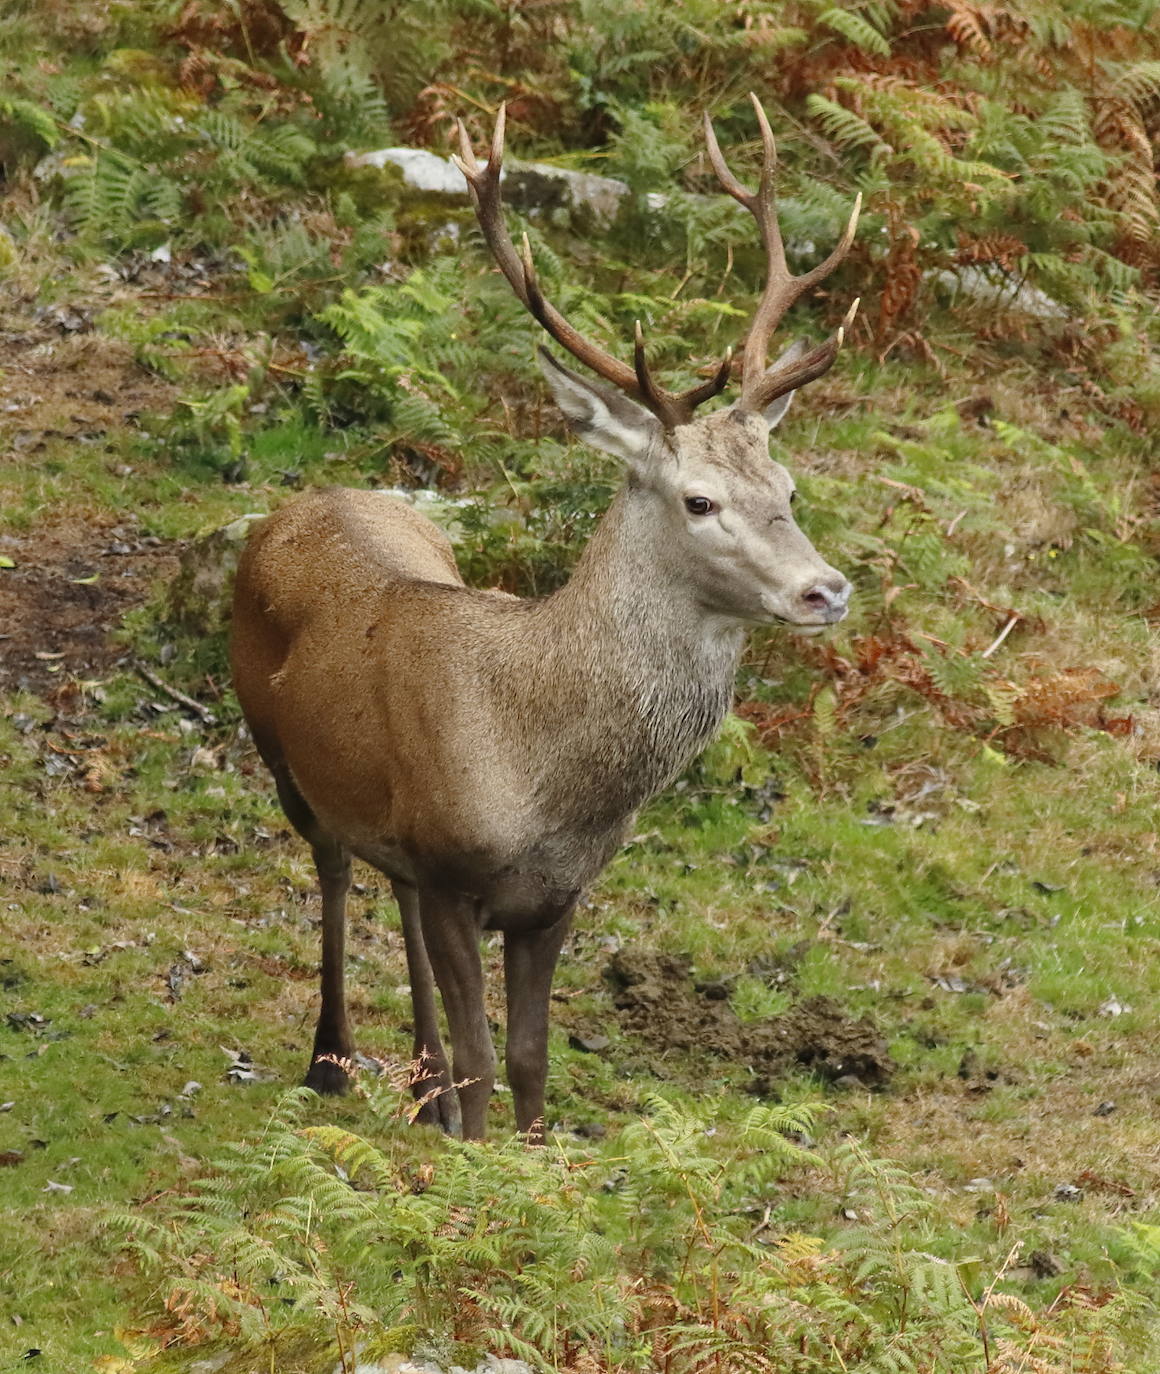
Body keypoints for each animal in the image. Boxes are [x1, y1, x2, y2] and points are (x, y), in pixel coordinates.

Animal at [228, 96, 863, 1143]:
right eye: (697, 500)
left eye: (788, 487)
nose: (825, 590)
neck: (543, 781)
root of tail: (302, 501)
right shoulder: (453, 869)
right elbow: (487, 1057)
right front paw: (478, 1157)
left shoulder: (557, 897)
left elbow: (529, 1059)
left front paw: (522, 1154)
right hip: (281, 758)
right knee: (332, 869)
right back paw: (332, 1063)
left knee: (390, 893)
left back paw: (423, 1092)